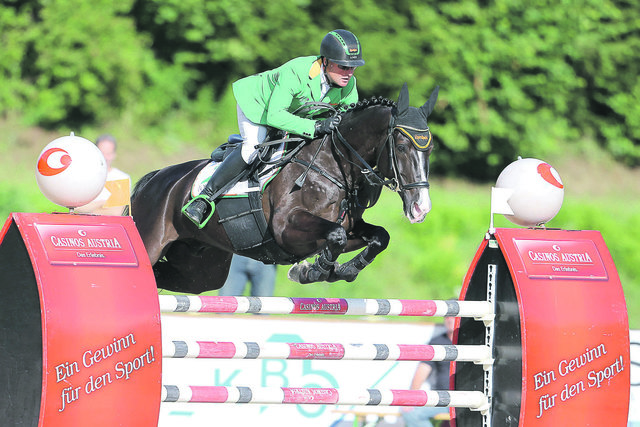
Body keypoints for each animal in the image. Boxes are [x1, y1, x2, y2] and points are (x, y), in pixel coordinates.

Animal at [130, 83, 440, 294]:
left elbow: (378, 237)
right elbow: (336, 236)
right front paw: (313, 271)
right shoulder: (285, 229)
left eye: (430, 149)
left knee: (169, 276)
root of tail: (153, 179)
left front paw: (336, 270)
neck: (333, 164)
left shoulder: (346, 227)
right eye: (401, 146)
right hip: (152, 240)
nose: (421, 209)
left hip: (201, 268)